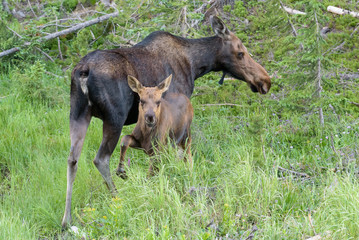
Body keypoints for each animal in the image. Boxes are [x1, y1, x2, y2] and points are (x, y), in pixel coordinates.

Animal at [62, 15, 270, 227]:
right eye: (240, 53)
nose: (265, 81)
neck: (196, 65)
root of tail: (83, 71)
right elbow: (177, 155)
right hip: (114, 117)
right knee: (101, 158)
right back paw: (118, 197)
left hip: (78, 114)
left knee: (72, 159)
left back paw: (67, 219)